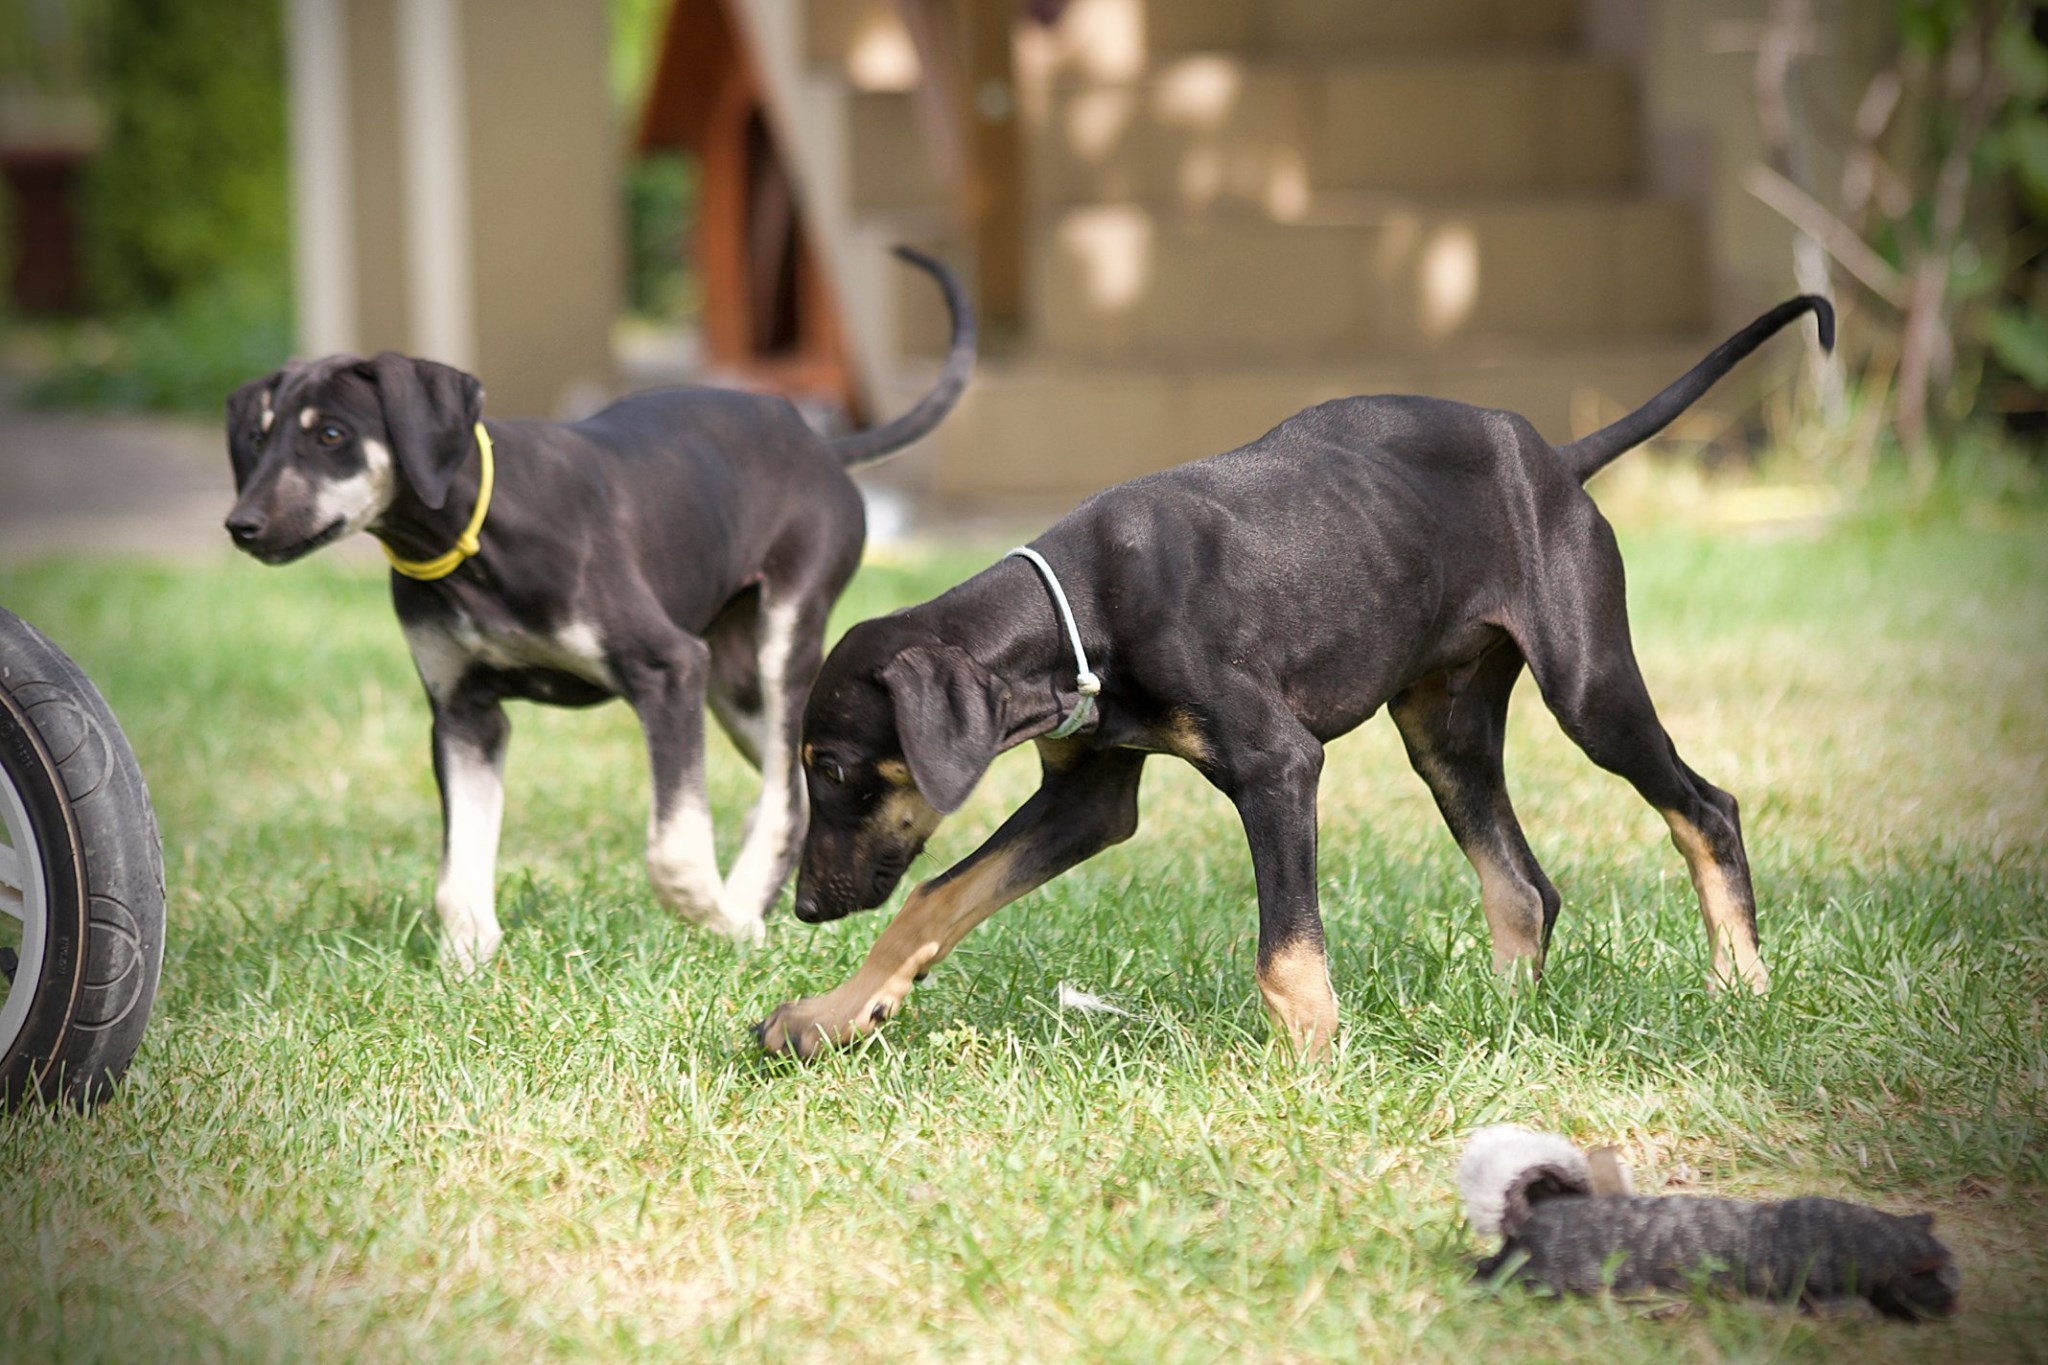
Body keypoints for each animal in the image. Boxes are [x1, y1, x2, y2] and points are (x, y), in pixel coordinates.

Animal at [224, 245, 974, 970]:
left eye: (331, 436)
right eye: (258, 439)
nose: (241, 526)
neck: (473, 543)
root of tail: (821, 443)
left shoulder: (669, 669)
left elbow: (673, 846)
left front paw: (722, 922)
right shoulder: (464, 714)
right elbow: (457, 871)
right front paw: (468, 964)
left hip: (784, 637)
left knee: (784, 801)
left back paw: (744, 903)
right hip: (735, 688)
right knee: (782, 782)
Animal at [761, 296, 1835, 1055]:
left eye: (837, 768)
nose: (805, 907)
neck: (1086, 601)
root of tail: (1553, 457)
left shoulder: (1277, 766)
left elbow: (1284, 953)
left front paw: (1315, 1072)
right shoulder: (1088, 799)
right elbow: (936, 898)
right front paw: (829, 1015)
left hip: (1589, 687)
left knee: (1705, 807)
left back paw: (1740, 981)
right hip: (1443, 730)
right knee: (1526, 887)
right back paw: (1497, 1022)